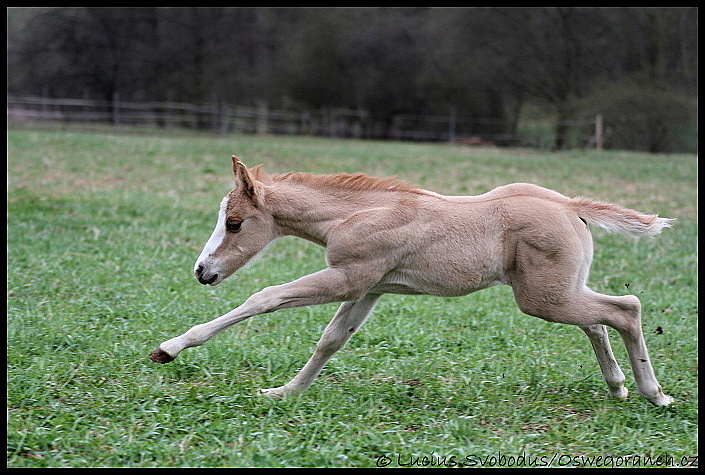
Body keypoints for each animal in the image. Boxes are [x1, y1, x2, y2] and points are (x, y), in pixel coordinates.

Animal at [150, 155, 676, 406]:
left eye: (235, 223)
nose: (203, 272)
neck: (359, 213)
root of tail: (569, 205)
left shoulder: (347, 279)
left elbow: (267, 297)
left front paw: (170, 348)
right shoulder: (369, 289)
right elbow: (331, 340)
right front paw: (285, 394)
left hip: (542, 298)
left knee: (625, 308)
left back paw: (654, 393)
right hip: (558, 290)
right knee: (596, 320)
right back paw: (618, 386)